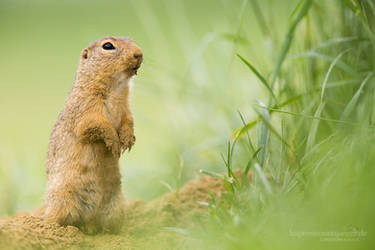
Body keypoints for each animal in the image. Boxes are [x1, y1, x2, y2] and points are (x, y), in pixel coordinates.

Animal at [42, 36, 142, 233]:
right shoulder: (86, 107)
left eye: (131, 39)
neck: (116, 87)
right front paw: (115, 143)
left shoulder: (126, 107)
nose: (139, 54)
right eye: (108, 46)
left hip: (115, 205)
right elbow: (96, 124)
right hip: (62, 199)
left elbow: (128, 120)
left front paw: (128, 139)